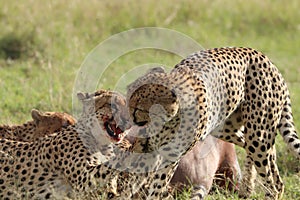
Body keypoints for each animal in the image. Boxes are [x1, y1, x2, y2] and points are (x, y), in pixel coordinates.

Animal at [126, 47, 300, 200]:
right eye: (128, 95)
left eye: (138, 108)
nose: (128, 119)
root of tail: (264, 58)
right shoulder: (148, 147)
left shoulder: (171, 155)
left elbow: (157, 184)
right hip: (226, 129)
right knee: (263, 152)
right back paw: (249, 187)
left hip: (257, 136)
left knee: (270, 176)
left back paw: (267, 191)